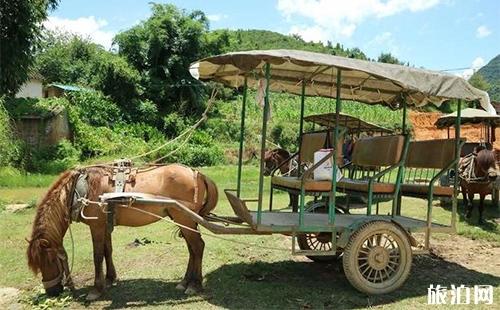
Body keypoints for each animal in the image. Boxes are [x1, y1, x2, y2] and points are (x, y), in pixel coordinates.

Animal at [25, 163, 217, 302]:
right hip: (185, 220)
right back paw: (185, 282)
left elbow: (97, 255)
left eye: (49, 260)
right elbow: (107, 251)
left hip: (184, 219)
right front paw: (110, 279)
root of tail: (196, 173)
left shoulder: (96, 226)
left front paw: (96, 290)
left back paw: (195, 285)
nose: (52, 291)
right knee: (192, 249)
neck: (82, 189)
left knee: (198, 246)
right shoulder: (104, 226)